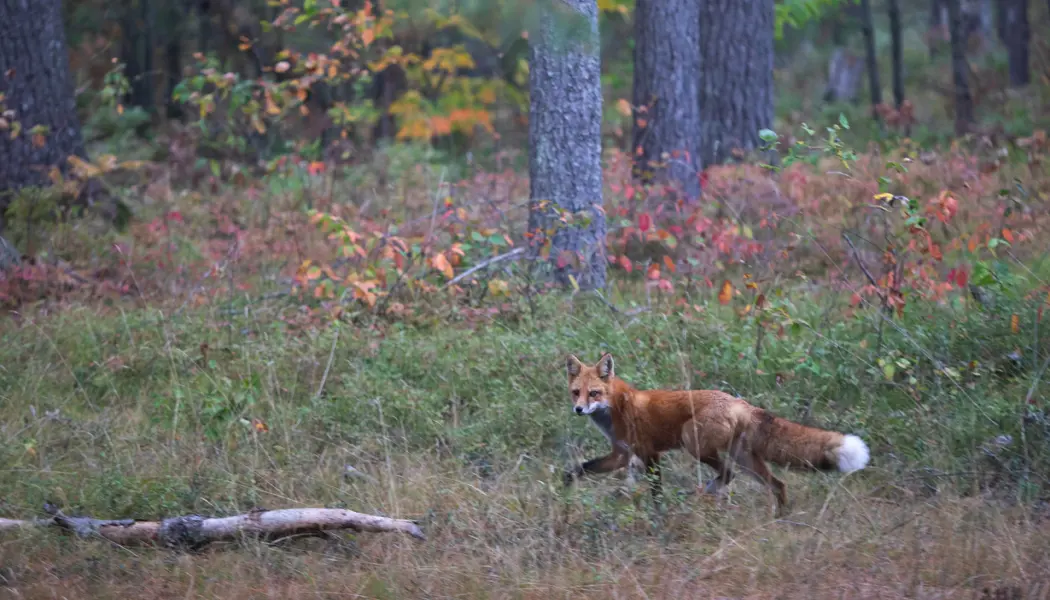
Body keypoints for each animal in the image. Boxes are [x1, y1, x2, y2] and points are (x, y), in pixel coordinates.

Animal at [562, 352, 870, 515]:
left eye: (594, 393)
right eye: (576, 392)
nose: (578, 409)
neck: (617, 407)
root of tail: (740, 402)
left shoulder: (649, 454)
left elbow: (657, 493)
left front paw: (659, 517)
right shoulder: (622, 455)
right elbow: (578, 470)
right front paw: (566, 490)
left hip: (693, 441)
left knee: (728, 473)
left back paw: (702, 493)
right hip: (745, 459)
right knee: (776, 484)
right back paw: (779, 519)